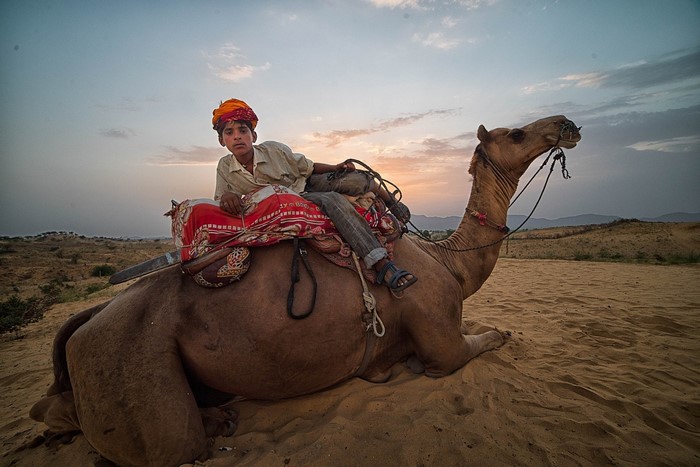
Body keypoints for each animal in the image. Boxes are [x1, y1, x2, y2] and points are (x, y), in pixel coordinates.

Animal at [30, 115, 581, 466]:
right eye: (516, 132)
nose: (567, 124)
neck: (450, 262)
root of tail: (87, 321)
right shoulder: (440, 339)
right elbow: (481, 341)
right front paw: (500, 334)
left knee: (54, 407)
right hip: (134, 367)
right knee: (172, 445)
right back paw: (216, 424)